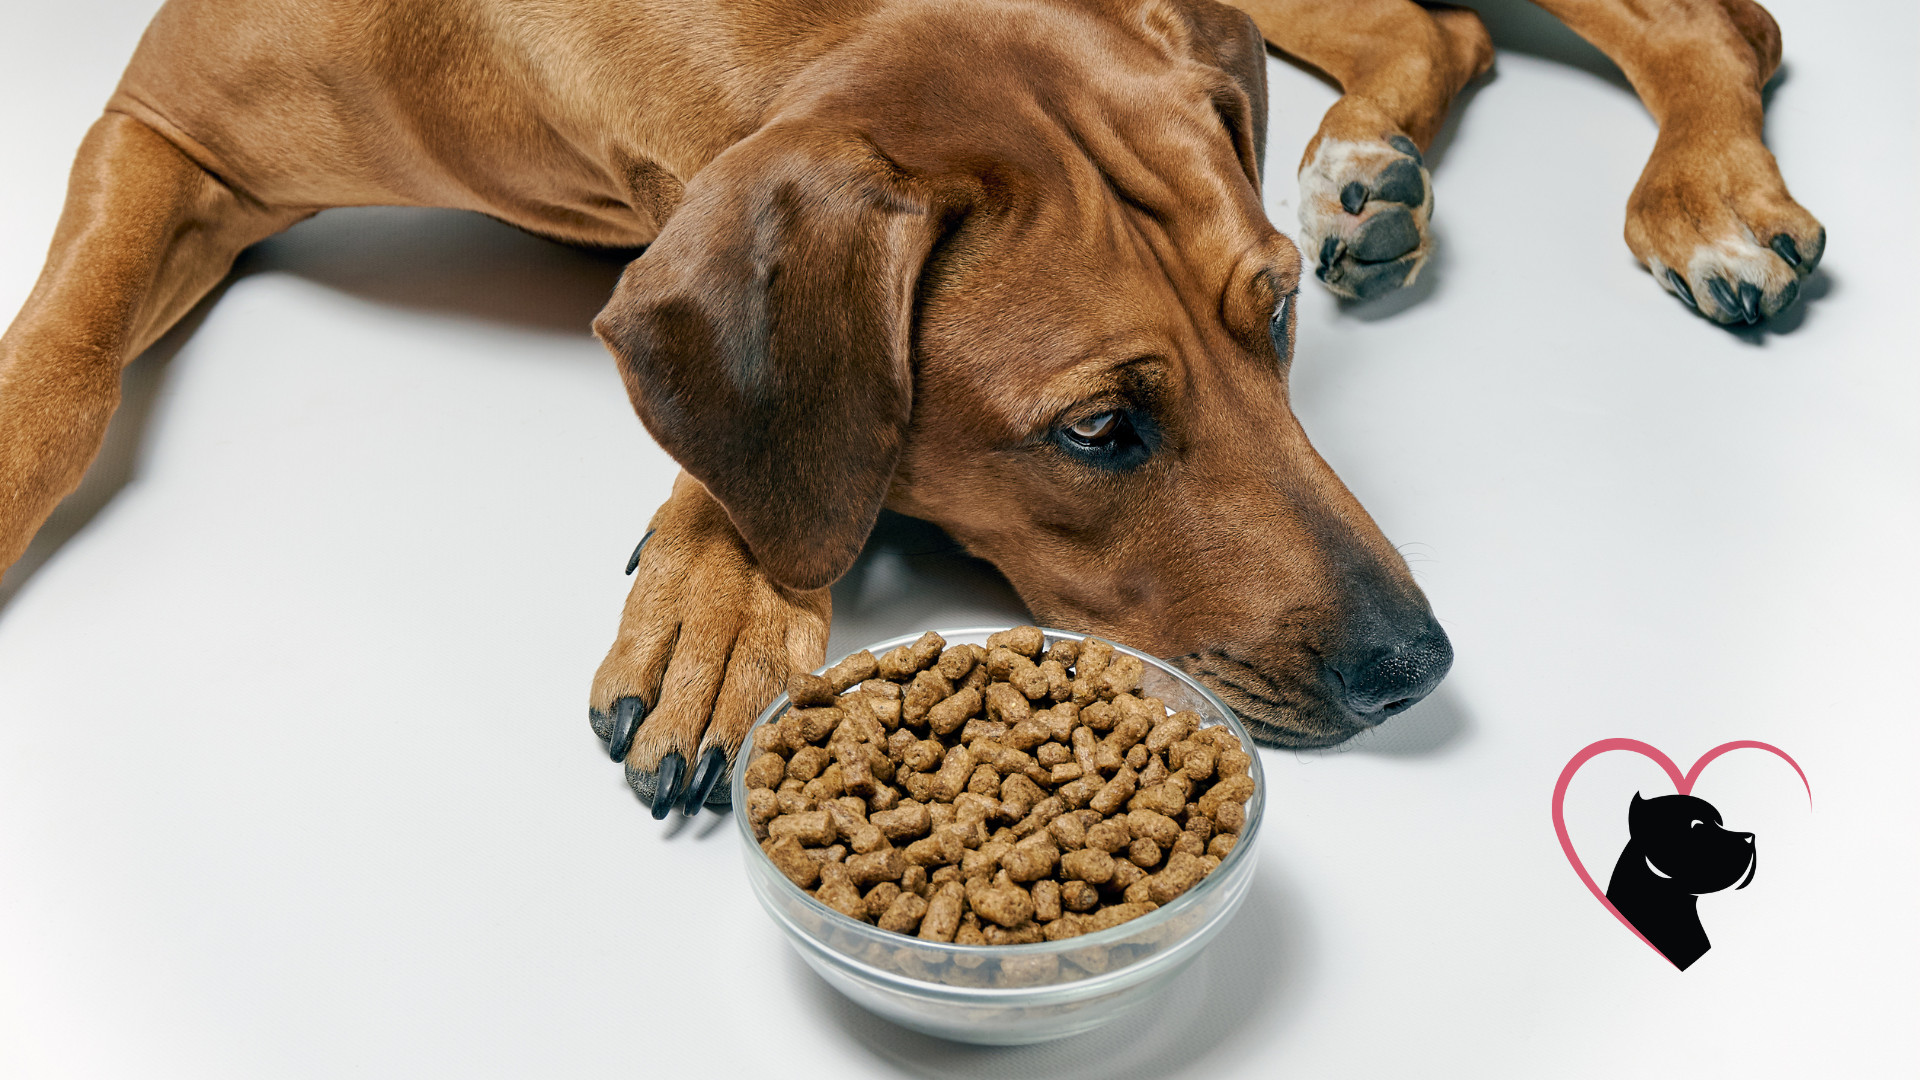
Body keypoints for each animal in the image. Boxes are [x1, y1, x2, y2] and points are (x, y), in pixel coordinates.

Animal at [0, 0, 1812, 807]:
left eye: (1277, 319)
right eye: (1099, 431)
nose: (1415, 665)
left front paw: (723, 588)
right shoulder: (162, 125)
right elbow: (60, 377)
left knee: (1712, 19)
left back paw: (1710, 191)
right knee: (1438, 27)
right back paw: (1369, 161)